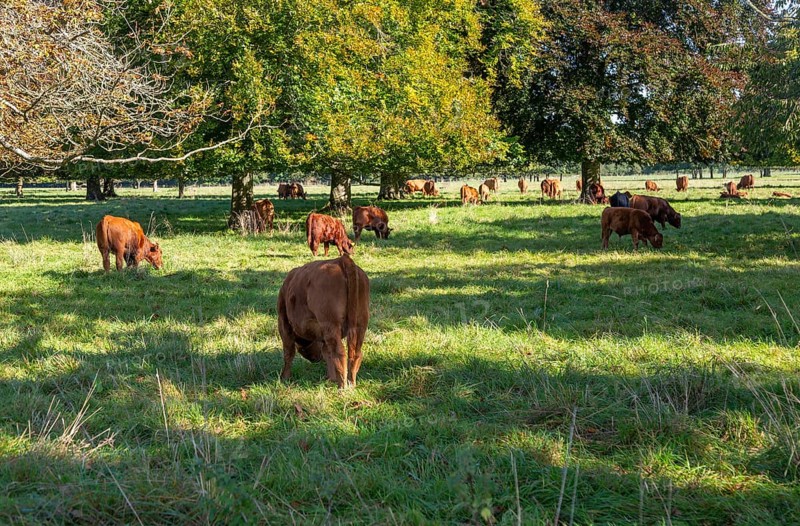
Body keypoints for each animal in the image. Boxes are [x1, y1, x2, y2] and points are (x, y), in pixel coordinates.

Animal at [277, 254, 369, 388]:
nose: (314, 359)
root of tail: (341, 260)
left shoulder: (283, 322)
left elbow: (288, 352)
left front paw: (284, 377)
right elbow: (327, 354)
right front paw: (331, 379)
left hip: (330, 324)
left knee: (339, 353)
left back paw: (342, 387)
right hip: (360, 323)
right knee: (355, 353)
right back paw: (351, 384)